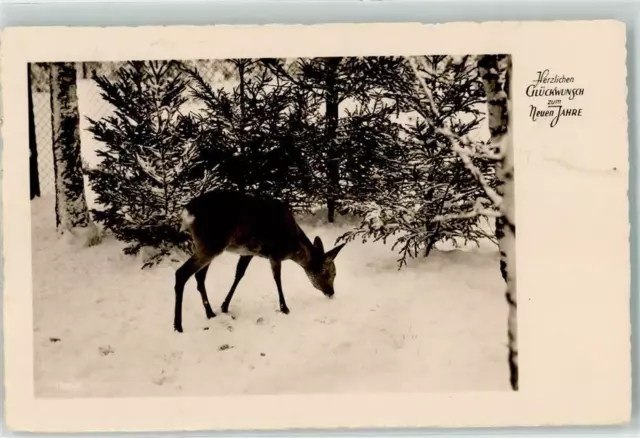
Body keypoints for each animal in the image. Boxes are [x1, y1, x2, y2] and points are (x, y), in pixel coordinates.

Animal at [172, 191, 348, 332]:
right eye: (330, 273)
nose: (331, 292)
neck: (293, 246)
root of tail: (187, 213)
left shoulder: (248, 252)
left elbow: (239, 274)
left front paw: (225, 306)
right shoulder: (275, 253)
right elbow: (277, 278)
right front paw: (284, 308)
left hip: (206, 245)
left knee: (199, 276)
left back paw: (210, 313)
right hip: (211, 243)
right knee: (182, 273)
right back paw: (178, 326)